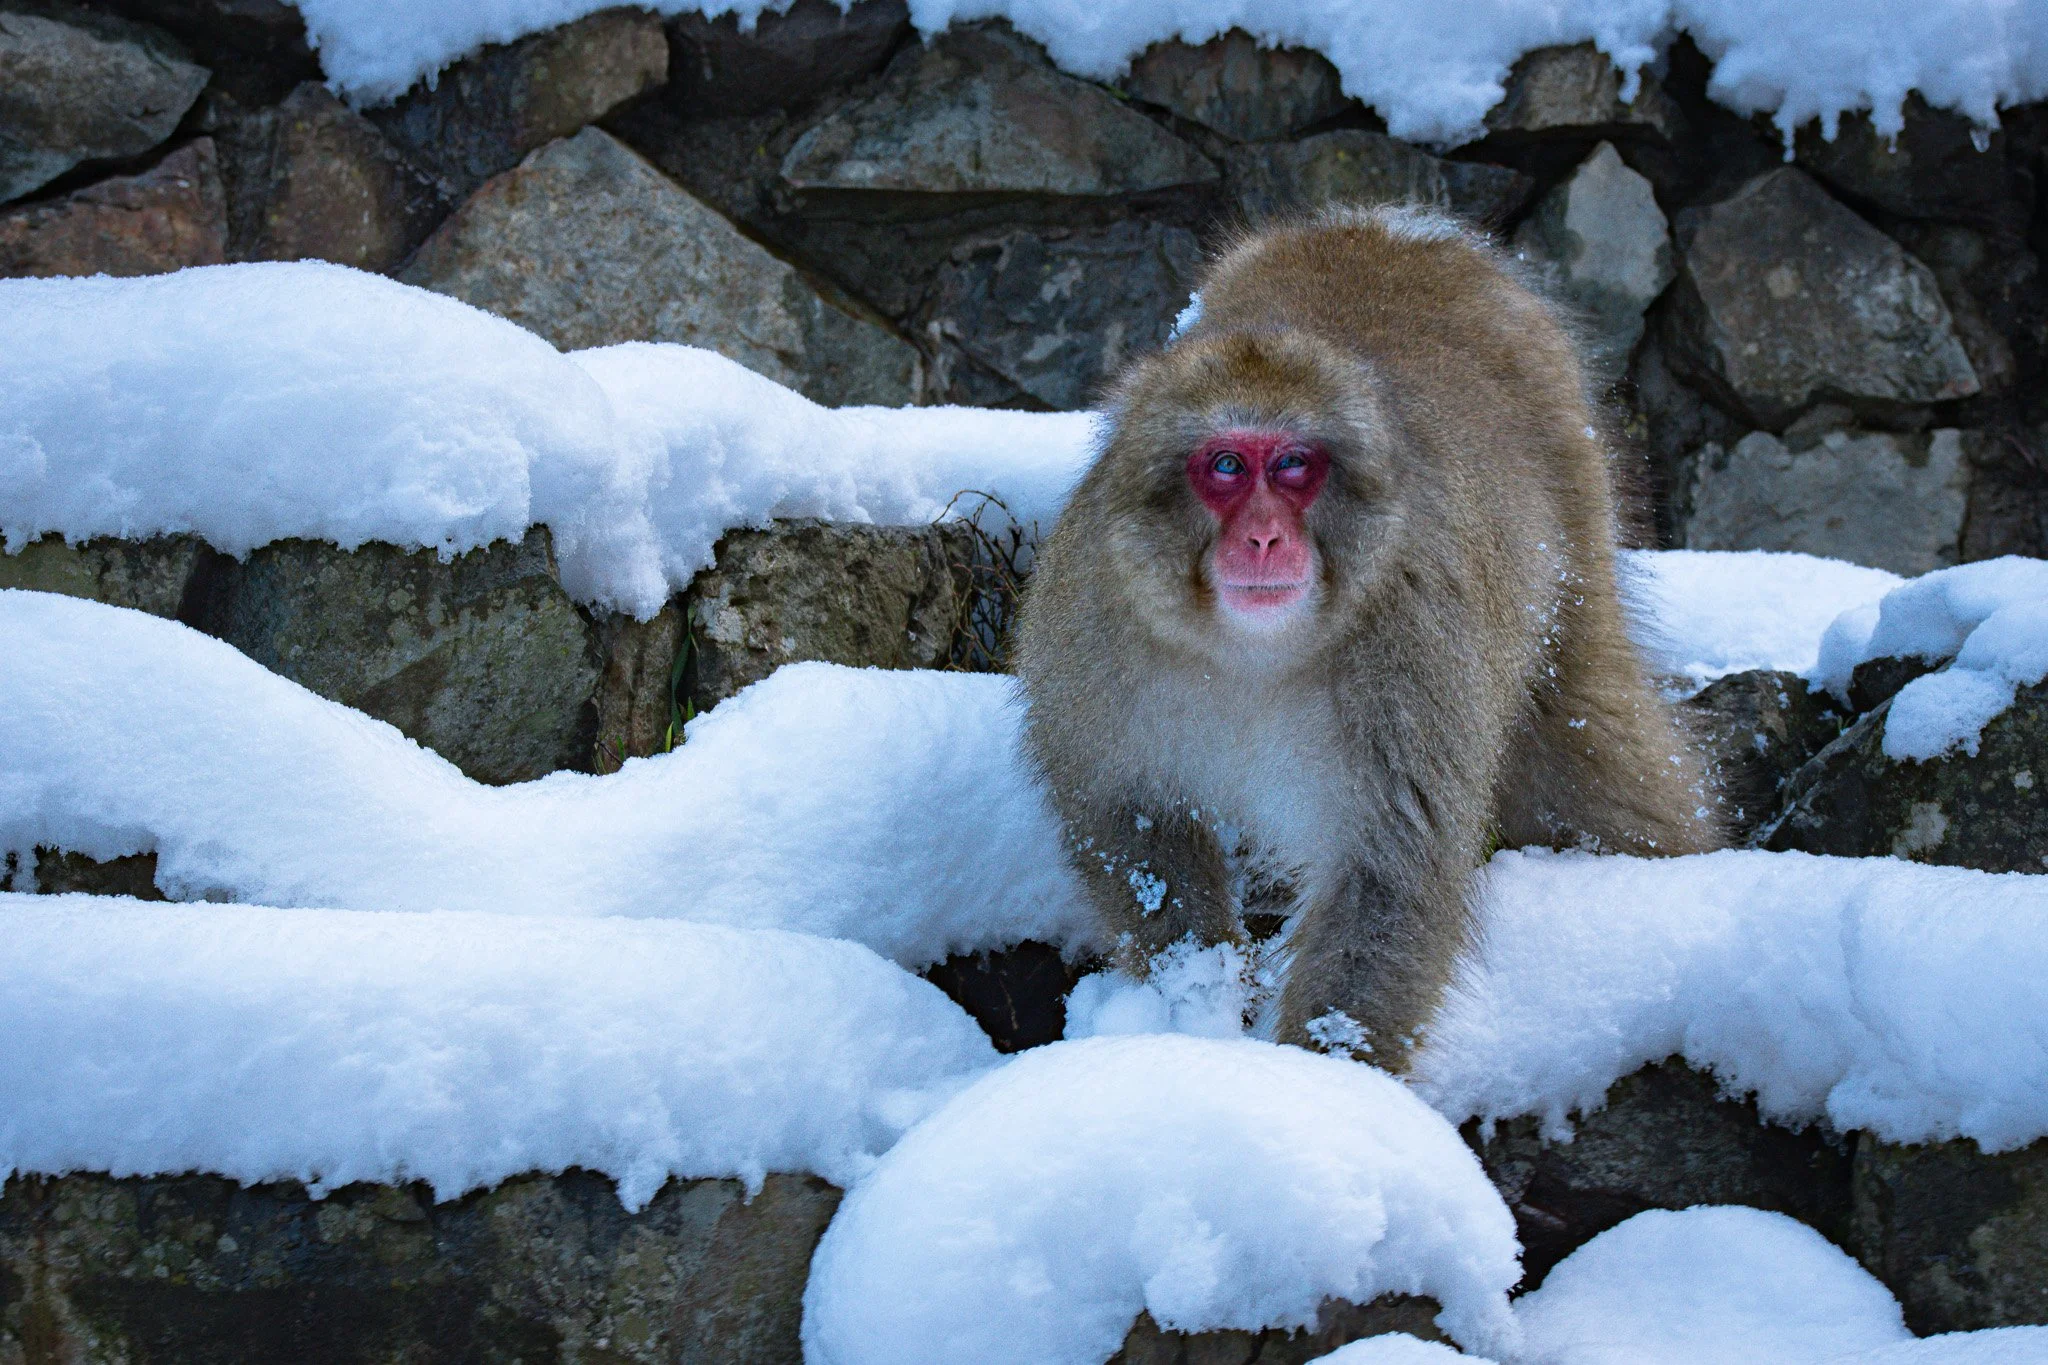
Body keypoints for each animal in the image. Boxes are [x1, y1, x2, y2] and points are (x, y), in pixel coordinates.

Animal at [1014, 205, 1723, 1070]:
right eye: (1226, 465)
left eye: (1293, 466)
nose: (1263, 539)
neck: (1253, 652)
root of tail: (1390, 228)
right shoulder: (1094, 610)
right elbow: (1132, 816)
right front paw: (1198, 1010)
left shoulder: (1414, 637)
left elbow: (1388, 870)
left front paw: (1327, 1080)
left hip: (1574, 502)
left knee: (1584, 726)